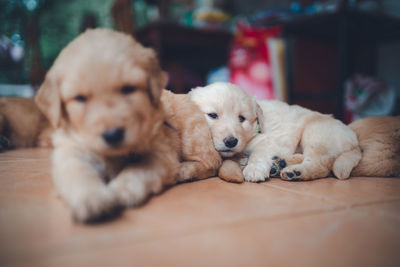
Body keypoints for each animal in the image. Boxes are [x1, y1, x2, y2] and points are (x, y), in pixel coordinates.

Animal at [35, 28, 220, 223]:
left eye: (128, 88)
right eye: (80, 98)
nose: (113, 134)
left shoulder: (160, 153)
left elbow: (136, 172)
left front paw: (119, 191)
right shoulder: (71, 151)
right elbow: (77, 173)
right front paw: (91, 198)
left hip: (193, 135)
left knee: (212, 162)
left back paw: (183, 170)